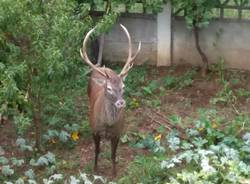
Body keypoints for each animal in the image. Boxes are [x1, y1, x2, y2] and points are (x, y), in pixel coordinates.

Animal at [80, 23, 142, 176]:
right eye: (108, 88)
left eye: (123, 86)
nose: (121, 102)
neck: (107, 124)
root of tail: (102, 67)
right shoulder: (95, 130)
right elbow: (96, 151)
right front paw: (95, 170)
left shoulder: (117, 132)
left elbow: (113, 155)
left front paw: (114, 173)